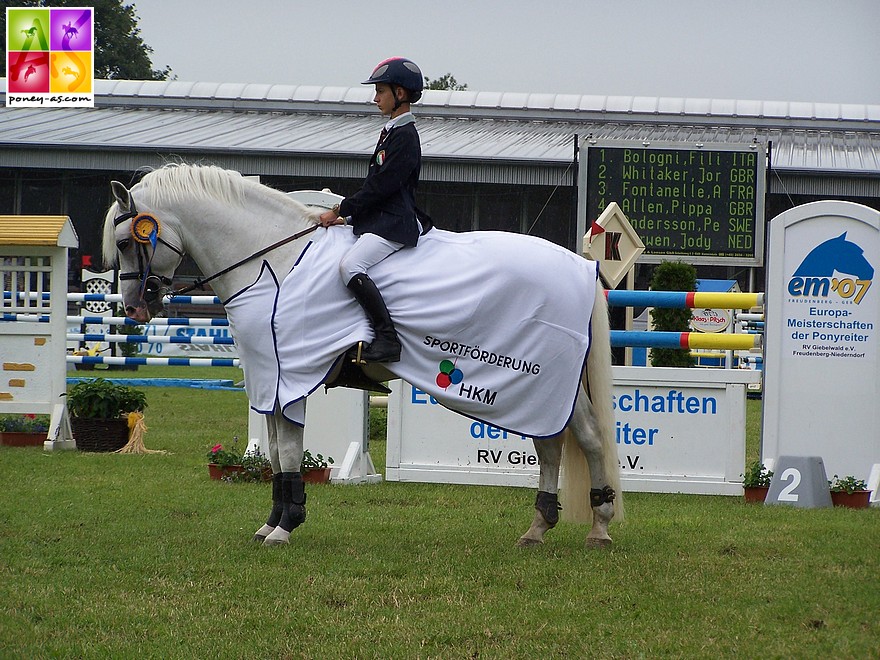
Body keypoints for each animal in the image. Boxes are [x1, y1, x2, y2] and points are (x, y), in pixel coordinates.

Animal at [103, 164, 624, 548]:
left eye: (128, 241)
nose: (134, 308)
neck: (272, 261)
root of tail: (581, 266)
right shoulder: (268, 380)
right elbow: (273, 450)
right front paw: (272, 521)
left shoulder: (289, 377)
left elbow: (288, 449)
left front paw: (286, 525)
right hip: (533, 390)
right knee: (552, 442)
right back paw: (538, 528)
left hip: (543, 381)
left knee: (589, 438)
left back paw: (599, 526)